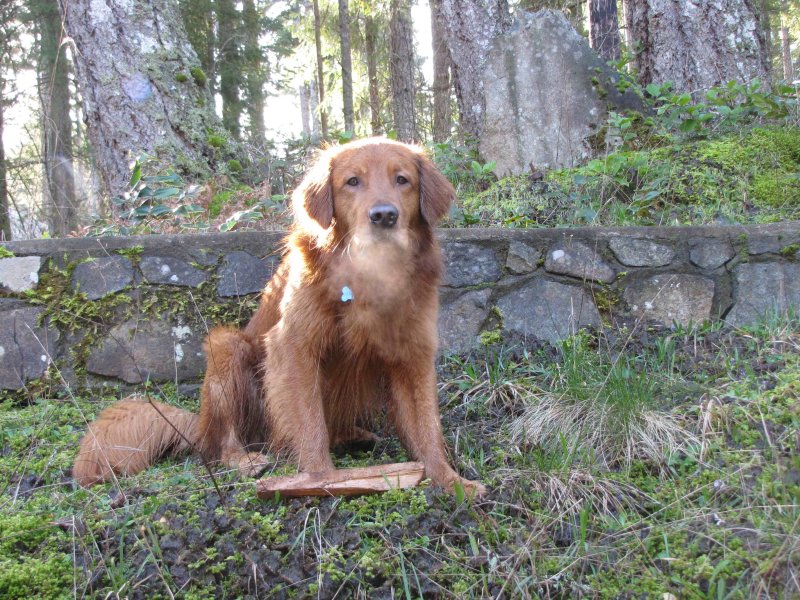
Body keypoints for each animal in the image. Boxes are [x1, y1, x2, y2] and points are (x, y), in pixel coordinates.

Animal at [73, 139, 488, 496]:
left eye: (402, 179)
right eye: (352, 182)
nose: (384, 216)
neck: (368, 276)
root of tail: (198, 422)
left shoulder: (413, 355)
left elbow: (427, 429)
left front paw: (449, 480)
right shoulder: (293, 347)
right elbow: (309, 423)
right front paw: (322, 479)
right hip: (227, 350)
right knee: (220, 444)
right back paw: (243, 460)